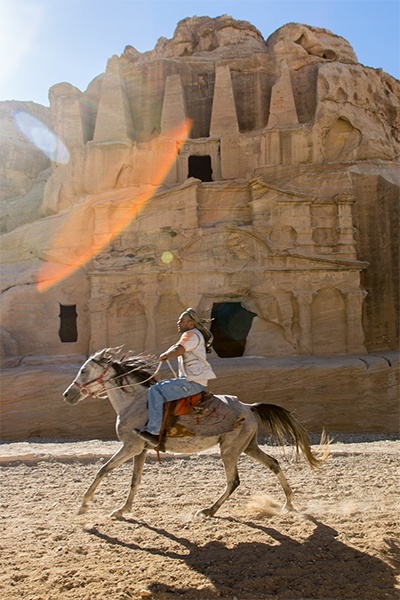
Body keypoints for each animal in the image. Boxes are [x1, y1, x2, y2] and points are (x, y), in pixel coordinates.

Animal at [64, 346, 328, 520]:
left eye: (84, 370)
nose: (68, 395)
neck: (136, 402)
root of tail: (249, 407)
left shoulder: (131, 446)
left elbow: (103, 469)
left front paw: (84, 505)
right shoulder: (141, 450)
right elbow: (134, 480)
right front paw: (122, 509)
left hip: (230, 450)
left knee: (234, 481)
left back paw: (209, 510)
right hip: (248, 446)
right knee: (273, 464)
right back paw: (288, 503)